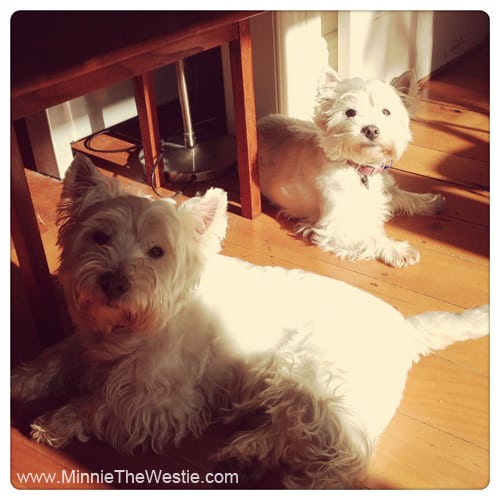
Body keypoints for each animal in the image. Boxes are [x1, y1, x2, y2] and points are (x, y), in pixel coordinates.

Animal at [12, 155, 488, 488]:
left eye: (157, 252)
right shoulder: (86, 341)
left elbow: (100, 403)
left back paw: (306, 480)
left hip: (316, 378)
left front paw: (52, 422)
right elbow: (55, 356)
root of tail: (405, 329)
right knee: (289, 429)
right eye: (99, 236)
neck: (130, 329)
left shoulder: (162, 400)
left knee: (344, 455)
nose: (113, 283)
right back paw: (244, 453)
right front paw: (21, 382)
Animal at [258, 69, 446, 270]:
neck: (360, 169)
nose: (371, 130)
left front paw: (432, 201)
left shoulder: (385, 191)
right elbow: (372, 237)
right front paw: (399, 251)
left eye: (386, 112)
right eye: (350, 112)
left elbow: (406, 196)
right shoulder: (333, 227)